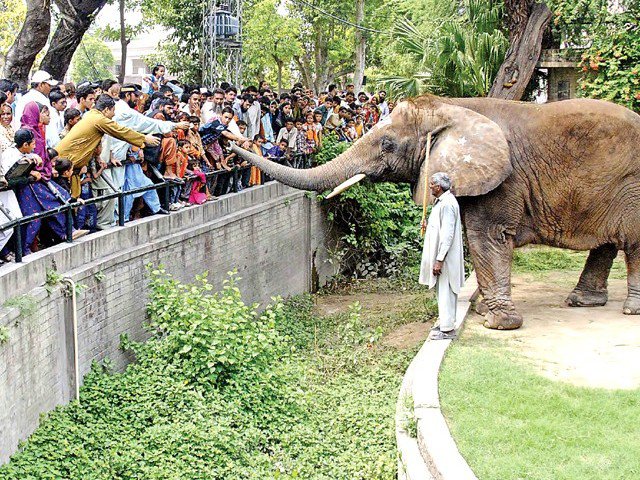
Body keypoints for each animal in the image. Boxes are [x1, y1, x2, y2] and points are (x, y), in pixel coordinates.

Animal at [230, 97, 640, 330]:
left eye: (387, 143)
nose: (232, 145)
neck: (451, 107)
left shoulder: (502, 180)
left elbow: (486, 238)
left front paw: (497, 323)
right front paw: (484, 313)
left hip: (632, 185)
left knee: (633, 244)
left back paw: (630, 311)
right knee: (606, 243)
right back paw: (582, 302)